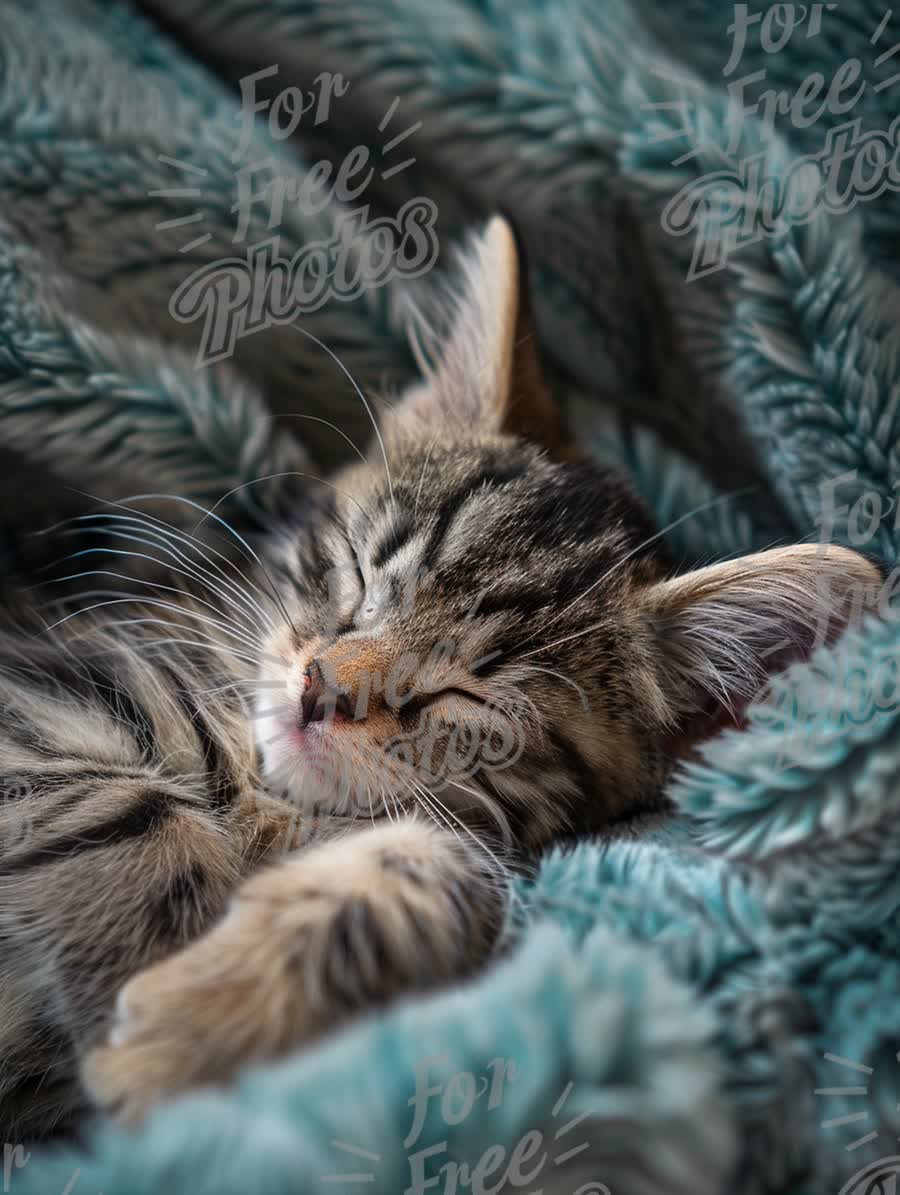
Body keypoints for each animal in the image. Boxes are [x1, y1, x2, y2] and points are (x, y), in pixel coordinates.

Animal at [0, 217, 874, 1137]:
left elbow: (453, 867)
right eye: (357, 574)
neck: (267, 793)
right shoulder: (56, 679)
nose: (319, 692)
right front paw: (146, 991)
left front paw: (185, 1025)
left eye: (459, 693)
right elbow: (127, 806)